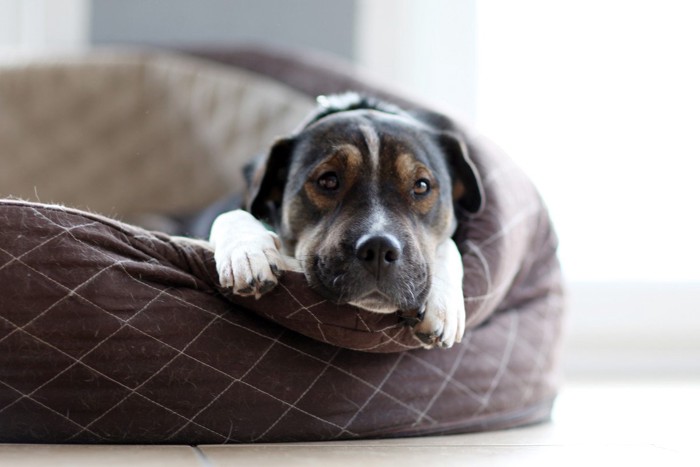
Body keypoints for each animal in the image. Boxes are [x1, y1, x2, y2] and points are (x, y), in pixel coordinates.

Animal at [206, 93, 482, 350]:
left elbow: (449, 245)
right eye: (328, 180)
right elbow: (232, 215)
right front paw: (247, 253)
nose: (379, 248)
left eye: (422, 186)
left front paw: (444, 302)